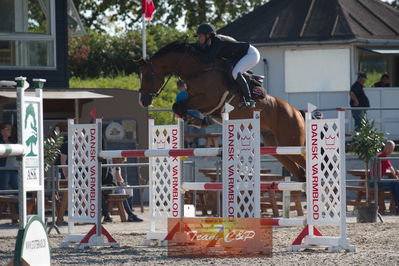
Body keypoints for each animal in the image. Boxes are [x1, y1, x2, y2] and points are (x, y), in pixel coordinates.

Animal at [137, 40, 306, 182]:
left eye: (148, 75)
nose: (142, 101)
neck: (198, 70)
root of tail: (296, 112)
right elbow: (178, 105)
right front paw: (198, 120)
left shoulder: (208, 100)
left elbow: (178, 106)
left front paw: (194, 120)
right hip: (277, 147)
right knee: (300, 173)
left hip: (290, 143)